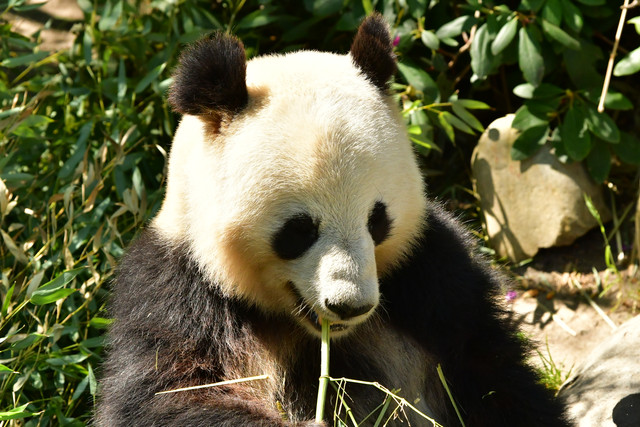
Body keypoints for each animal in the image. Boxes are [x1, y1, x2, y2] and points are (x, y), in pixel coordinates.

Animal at [96, 14, 568, 427]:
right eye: (299, 230)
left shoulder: (431, 269)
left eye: (377, 220)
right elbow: (163, 395)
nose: (350, 305)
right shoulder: (175, 290)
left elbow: (490, 369)